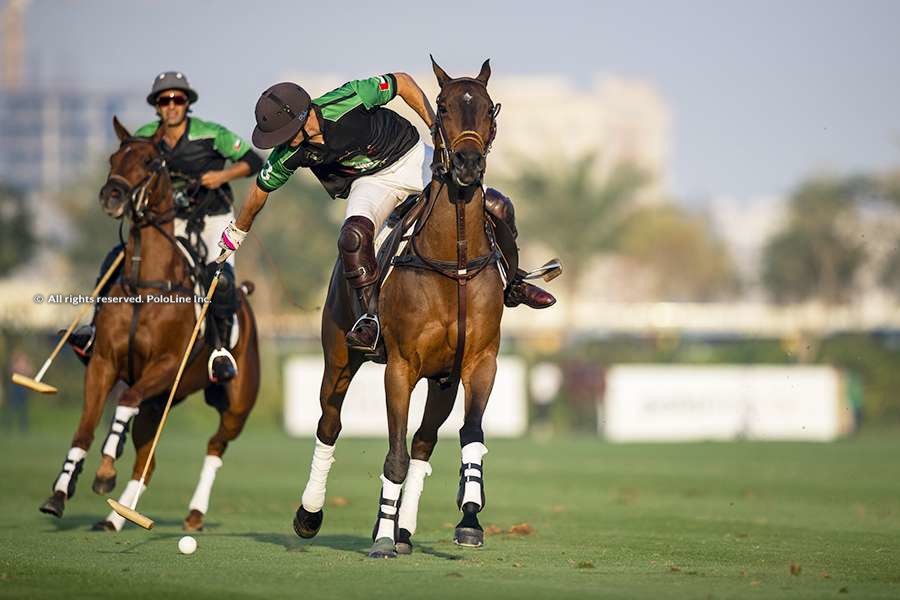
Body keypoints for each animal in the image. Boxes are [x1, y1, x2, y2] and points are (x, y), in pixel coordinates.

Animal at [42, 119, 260, 532]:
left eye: (148, 161)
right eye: (113, 158)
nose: (111, 196)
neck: (147, 283)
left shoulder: (168, 365)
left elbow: (124, 402)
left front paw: (105, 468)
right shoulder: (103, 363)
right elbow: (84, 429)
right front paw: (60, 493)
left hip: (237, 404)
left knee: (215, 446)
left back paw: (193, 514)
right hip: (160, 401)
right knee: (148, 461)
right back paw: (115, 518)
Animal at [296, 58, 506, 556]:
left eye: (488, 107)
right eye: (443, 106)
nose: (468, 164)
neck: (456, 262)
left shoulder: (479, 361)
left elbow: (470, 436)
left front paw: (470, 514)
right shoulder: (401, 366)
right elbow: (394, 455)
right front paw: (382, 541)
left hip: (443, 380)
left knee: (424, 442)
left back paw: (403, 528)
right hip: (339, 355)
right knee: (329, 423)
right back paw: (312, 516)